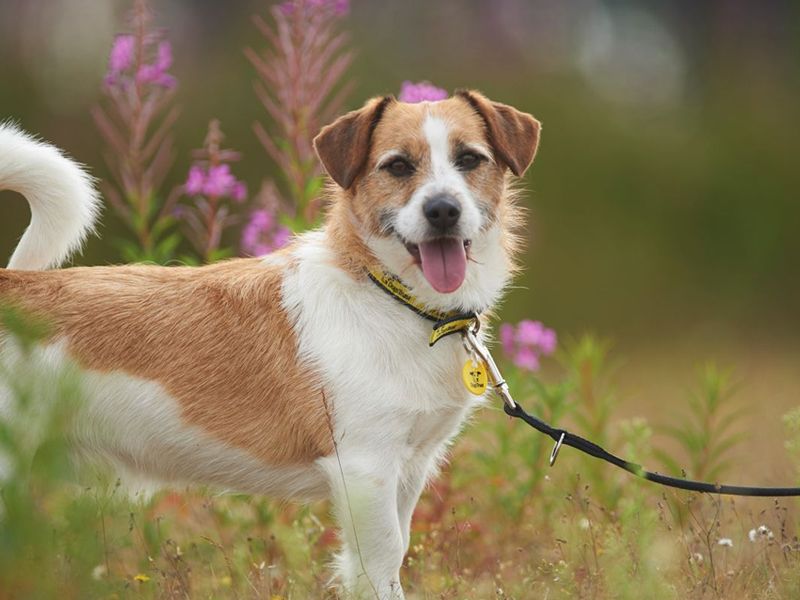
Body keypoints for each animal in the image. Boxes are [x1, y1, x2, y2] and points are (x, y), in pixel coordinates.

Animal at [1, 90, 536, 600]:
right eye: (398, 165)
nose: (443, 210)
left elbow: (389, 555)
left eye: (469, 159)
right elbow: (381, 570)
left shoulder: (408, 471)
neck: (392, 298)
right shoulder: (365, 473)